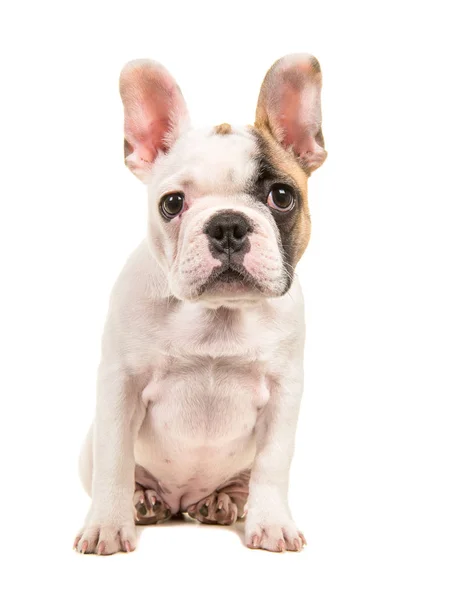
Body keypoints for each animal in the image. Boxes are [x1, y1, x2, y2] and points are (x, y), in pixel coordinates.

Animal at [74, 54, 326, 556]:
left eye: (281, 196)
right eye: (172, 204)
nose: (228, 224)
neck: (219, 315)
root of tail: (180, 502)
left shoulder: (283, 393)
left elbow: (273, 465)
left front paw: (272, 524)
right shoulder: (120, 385)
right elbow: (115, 460)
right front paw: (108, 525)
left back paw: (221, 502)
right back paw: (143, 500)